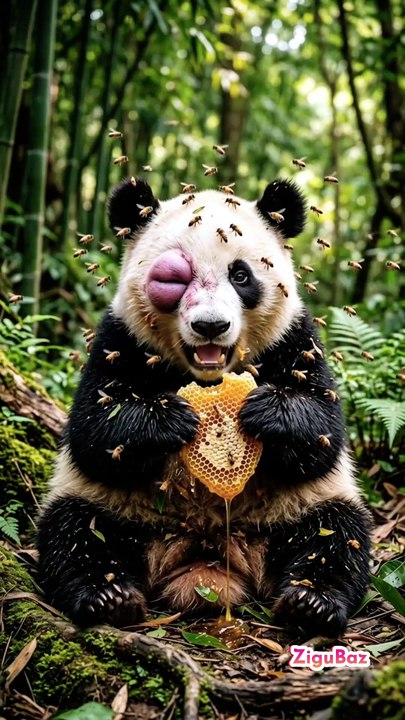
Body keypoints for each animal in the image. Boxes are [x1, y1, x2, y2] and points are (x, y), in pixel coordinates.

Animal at [37, 177, 371, 635]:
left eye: (241, 274)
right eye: (173, 278)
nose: (210, 326)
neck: (206, 376)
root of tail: (206, 552)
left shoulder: (295, 339)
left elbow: (324, 430)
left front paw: (264, 411)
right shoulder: (119, 339)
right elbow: (93, 430)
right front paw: (171, 418)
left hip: (291, 510)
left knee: (335, 534)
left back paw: (310, 602)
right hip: (121, 510)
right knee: (76, 533)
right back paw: (108, 597)